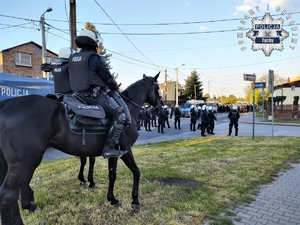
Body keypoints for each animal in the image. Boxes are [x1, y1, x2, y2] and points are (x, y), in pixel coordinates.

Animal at [0, 73, 163, 224]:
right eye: (157, 87)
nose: (160, 106)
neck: (127, 109)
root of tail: (5, 104)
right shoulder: (123, 150)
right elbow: (133, 172)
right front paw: (133, 200)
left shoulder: (112, 153)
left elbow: (112, 173)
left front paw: (110, 197)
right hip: (24, 162)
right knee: (8, 195)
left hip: (30, 160)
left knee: (20, 186)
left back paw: (29, 205)